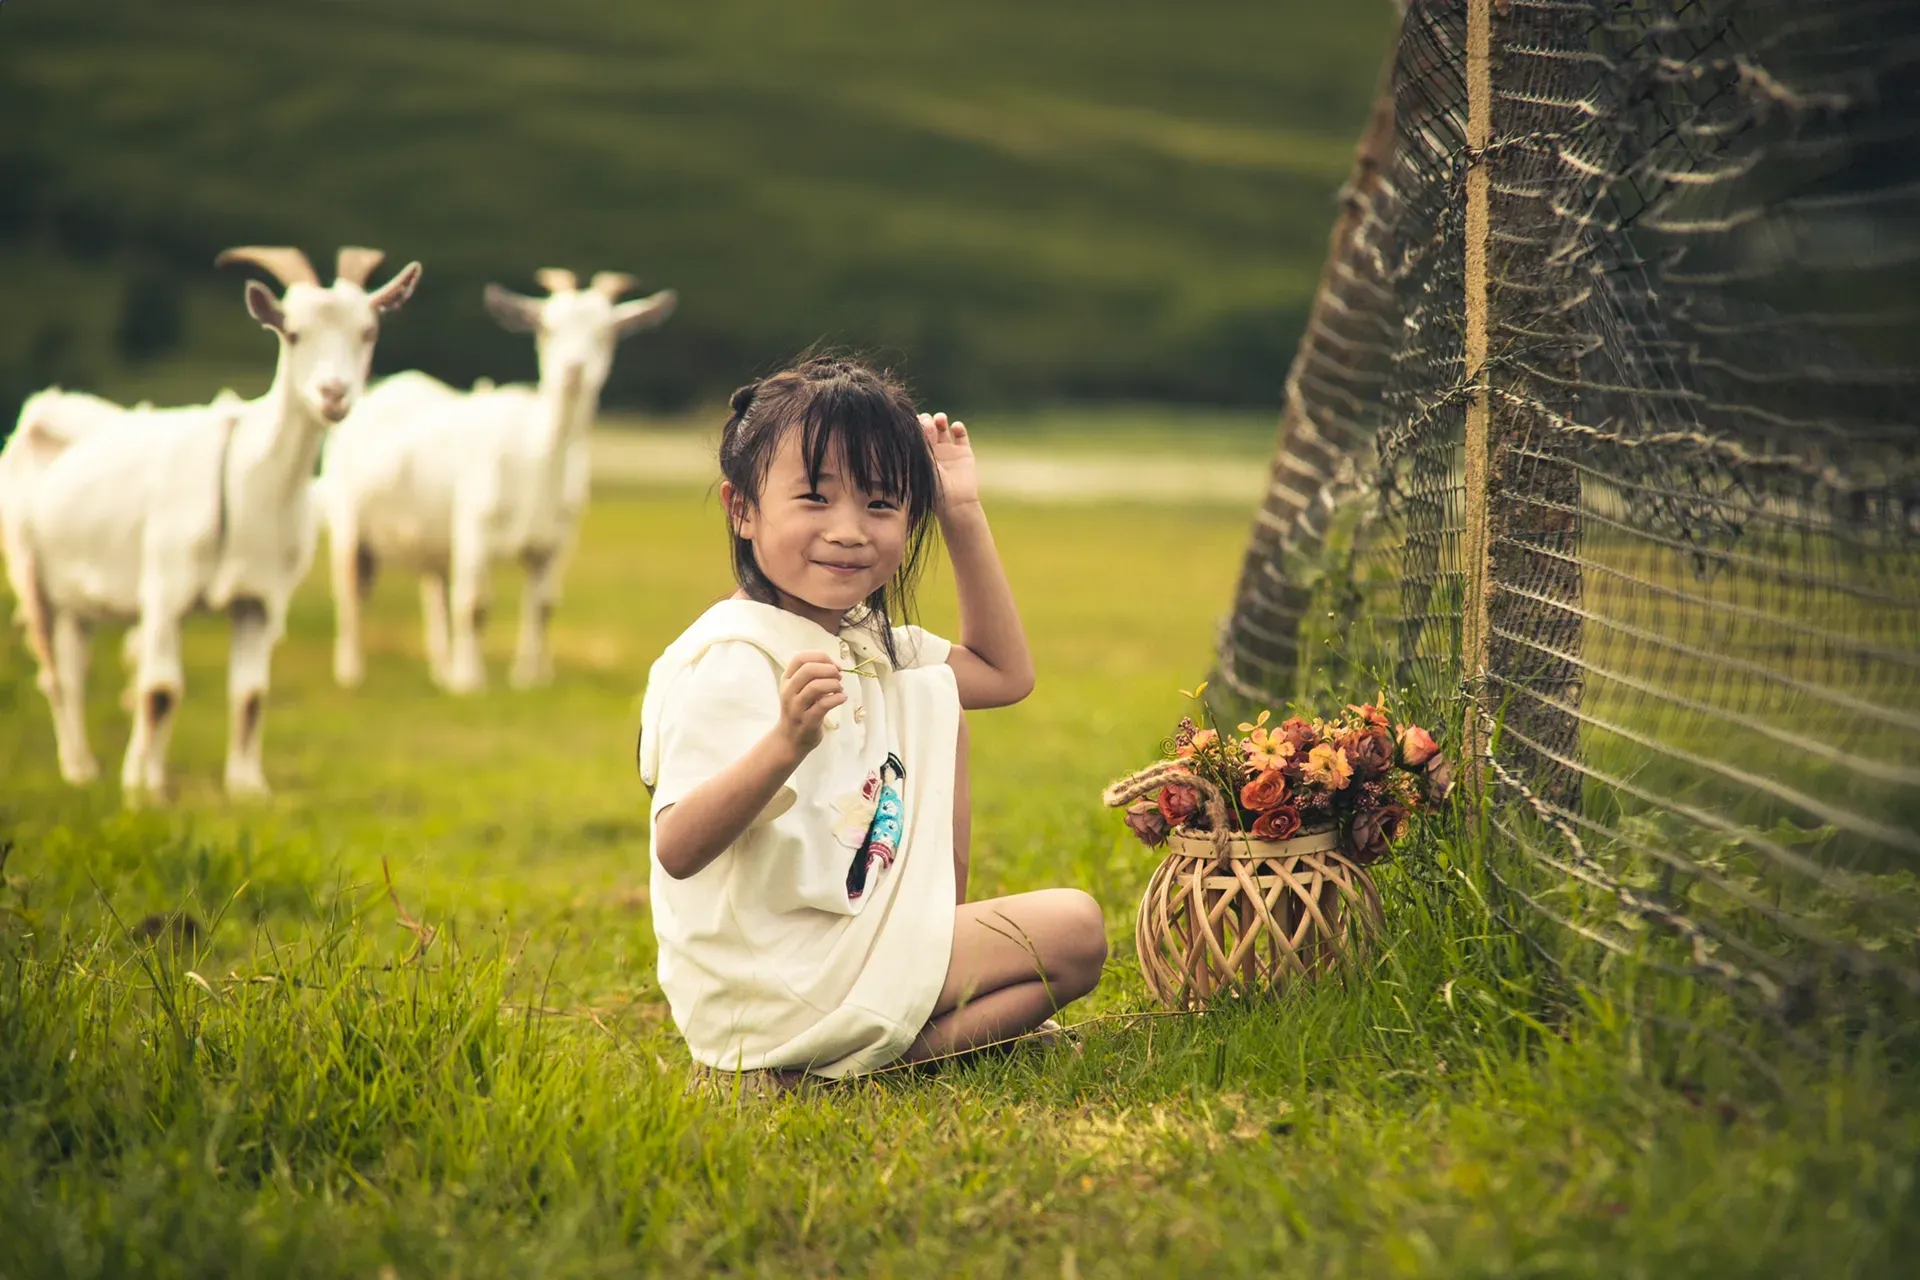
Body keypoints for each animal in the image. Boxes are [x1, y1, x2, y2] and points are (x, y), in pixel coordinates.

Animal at [0, 245, 422, 794]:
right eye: (291, 332)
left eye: (368, 331)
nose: (333, 393)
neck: (249, 487)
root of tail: (42, 412)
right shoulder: (165, 588)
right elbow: (160, 690)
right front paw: (142, 787)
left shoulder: (260, 600)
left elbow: (250, 694)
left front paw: (246, 787)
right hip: (30, 573)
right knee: (54, 674)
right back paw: (78, 769)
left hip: (78, 600)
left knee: (74, 668)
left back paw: (92, 765)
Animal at [318, 268, 672, 690]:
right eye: (546, 327)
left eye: (607, 332)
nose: (574, 370)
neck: (537, 464)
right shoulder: (476, 527)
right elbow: (474, 605)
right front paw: (471, 682)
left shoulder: (556, 541)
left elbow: (543, 606)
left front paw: (532, 678)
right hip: (349, 518)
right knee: (350, 588)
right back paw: (352, 670)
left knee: (434, 588)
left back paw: (442, 670)